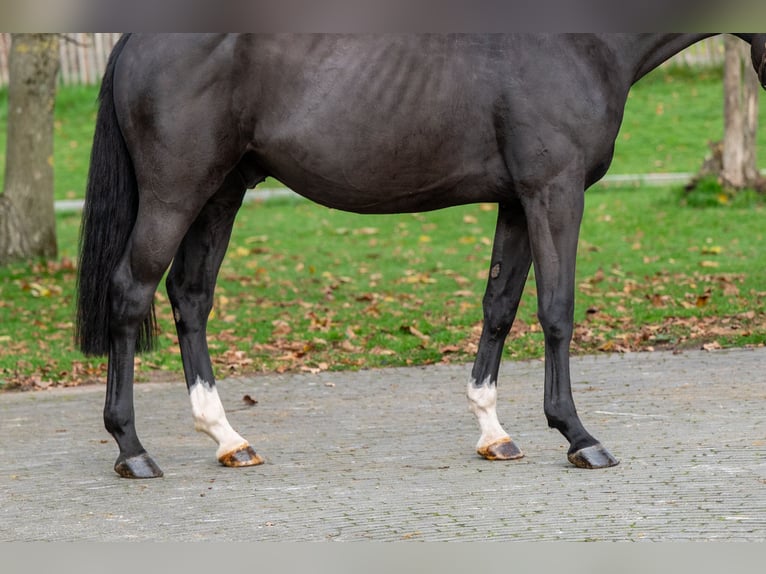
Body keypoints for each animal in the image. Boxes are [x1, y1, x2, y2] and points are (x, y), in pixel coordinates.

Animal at [76, 34, 766, 478]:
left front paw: (494, 432)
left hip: (223, 190)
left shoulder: (517, 200)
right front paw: (578, 436)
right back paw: (132, 450)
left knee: (190, 296)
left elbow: (500, 305)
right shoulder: (555, 191)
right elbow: (557, 310)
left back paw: (228, 439)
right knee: (131, 294)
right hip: (177, 192)